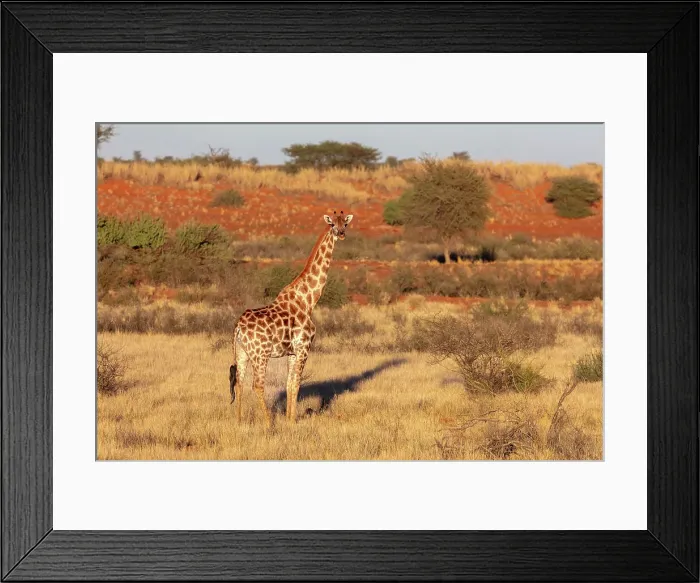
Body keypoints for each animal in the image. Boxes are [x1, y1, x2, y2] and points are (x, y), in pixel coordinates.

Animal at [229, 210, 354, 427]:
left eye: (345, 223)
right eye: (332, 224)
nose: (341, 233)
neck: (308, 300)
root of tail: (238, 327)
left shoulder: (292, 352)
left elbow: (289, 383)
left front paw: (289, 418)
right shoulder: (304, 347)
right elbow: (296, 383)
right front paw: (293, 421)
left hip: (242, 352)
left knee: (239, 383)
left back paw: (238, 421)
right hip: (260, 354)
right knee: (257, 385)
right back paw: (269, 423)